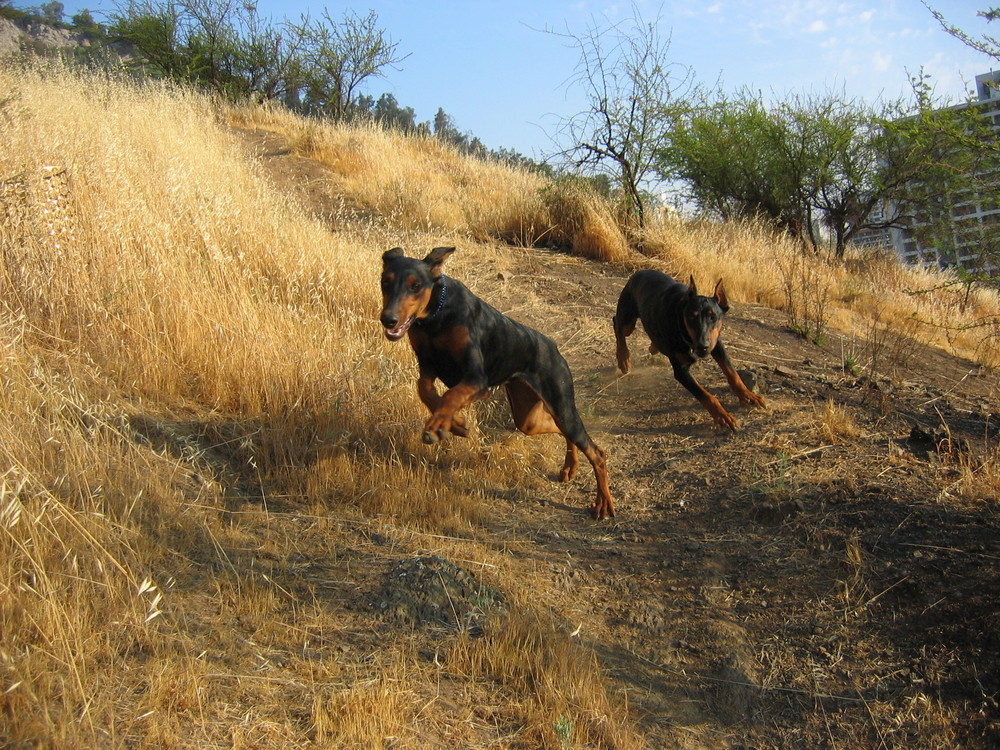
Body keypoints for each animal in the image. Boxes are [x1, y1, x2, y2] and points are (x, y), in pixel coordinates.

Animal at [380, 250, 612, 520]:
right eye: (385, 281)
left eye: (415, 286)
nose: (388, 320)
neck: (437, 316)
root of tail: (553, 347)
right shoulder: (427, 365)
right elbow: (425, 390)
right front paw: (455, 424)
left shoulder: (477, 379)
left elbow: (450, 395)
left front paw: (441, 425)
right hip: (527, 418)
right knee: (560, 431)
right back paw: (570, 467)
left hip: (561, 405)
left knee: (596, 453)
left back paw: (603, 503)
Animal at [608, 274, 764, 432]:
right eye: (691, 317)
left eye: (713, 317)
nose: (702, 346)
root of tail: (637, 273)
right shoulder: (681, 371)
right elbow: (706, 395)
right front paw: (723, 417)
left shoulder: (716, 343)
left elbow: (732, 373)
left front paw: (749, 396)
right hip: (628, 320)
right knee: (618, 325)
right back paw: (623, 358)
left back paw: (653, 347)